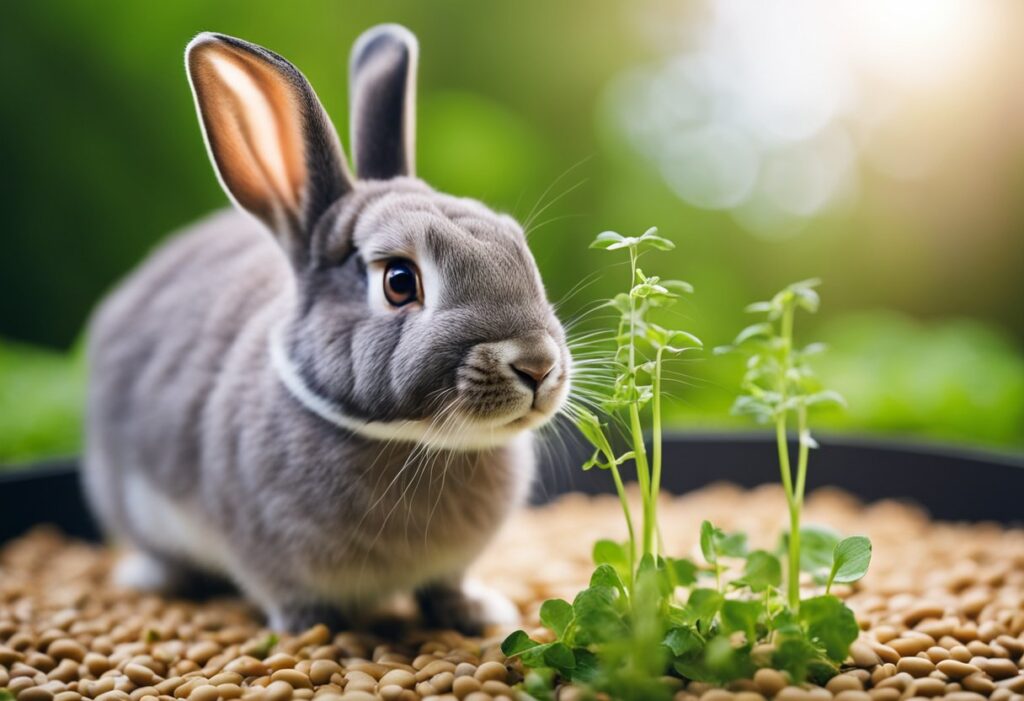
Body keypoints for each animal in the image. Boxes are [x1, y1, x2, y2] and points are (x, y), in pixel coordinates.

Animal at [83, 24, 573, 630]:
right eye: (399, 282)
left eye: (518, 247)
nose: (537, 364)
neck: (415, 441)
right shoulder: (270, 557)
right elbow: (295, 598)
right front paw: (312, 630)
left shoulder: (450, 567)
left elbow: (445, 587)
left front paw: (478, 613)